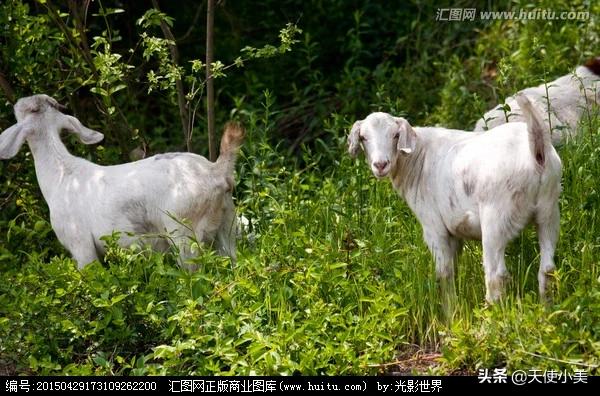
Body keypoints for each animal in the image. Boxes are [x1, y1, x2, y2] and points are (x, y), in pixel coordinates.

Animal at [352, 94, 564, 302]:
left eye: (395, 135)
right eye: (363, 137)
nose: (380, 165)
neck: (417, 158)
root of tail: (536, 151)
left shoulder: (433, 226)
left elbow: (444, 274)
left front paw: (449, 310)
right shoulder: (454, 230)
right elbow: (453, 269)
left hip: (496, 217)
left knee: (496, 277)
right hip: (549, 210)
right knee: (547, 270)